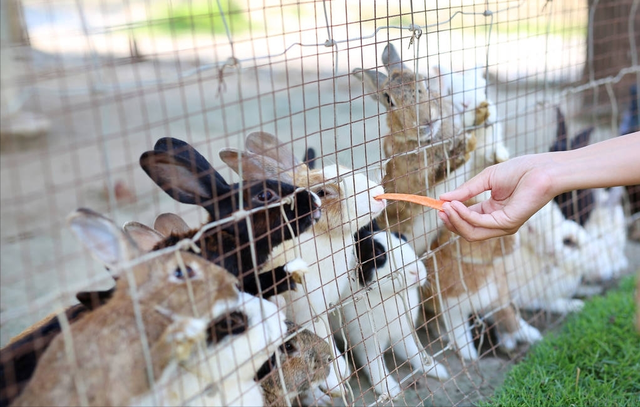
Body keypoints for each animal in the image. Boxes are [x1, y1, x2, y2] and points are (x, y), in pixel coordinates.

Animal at [218, 132, 388, 404]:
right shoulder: (306, 308)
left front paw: (339, 371)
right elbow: (315, 334)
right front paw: (336, 380)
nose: (379, 194)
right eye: (323, 192)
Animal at [338, 222, 448, 400]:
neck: (388, 296)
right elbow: (376, 365)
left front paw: (437, 369)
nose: (416, 271)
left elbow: (415, 352)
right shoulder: (366, 342)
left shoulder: (403, 333)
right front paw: (391, 391)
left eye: (403, 238)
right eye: (377, 254)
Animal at [422, 228, 544, 362]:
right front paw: (470, 355)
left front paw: (534, 335)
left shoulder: (495, 301)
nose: (517, 242)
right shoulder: (453, 308)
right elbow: (461, 332)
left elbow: (511, 318)